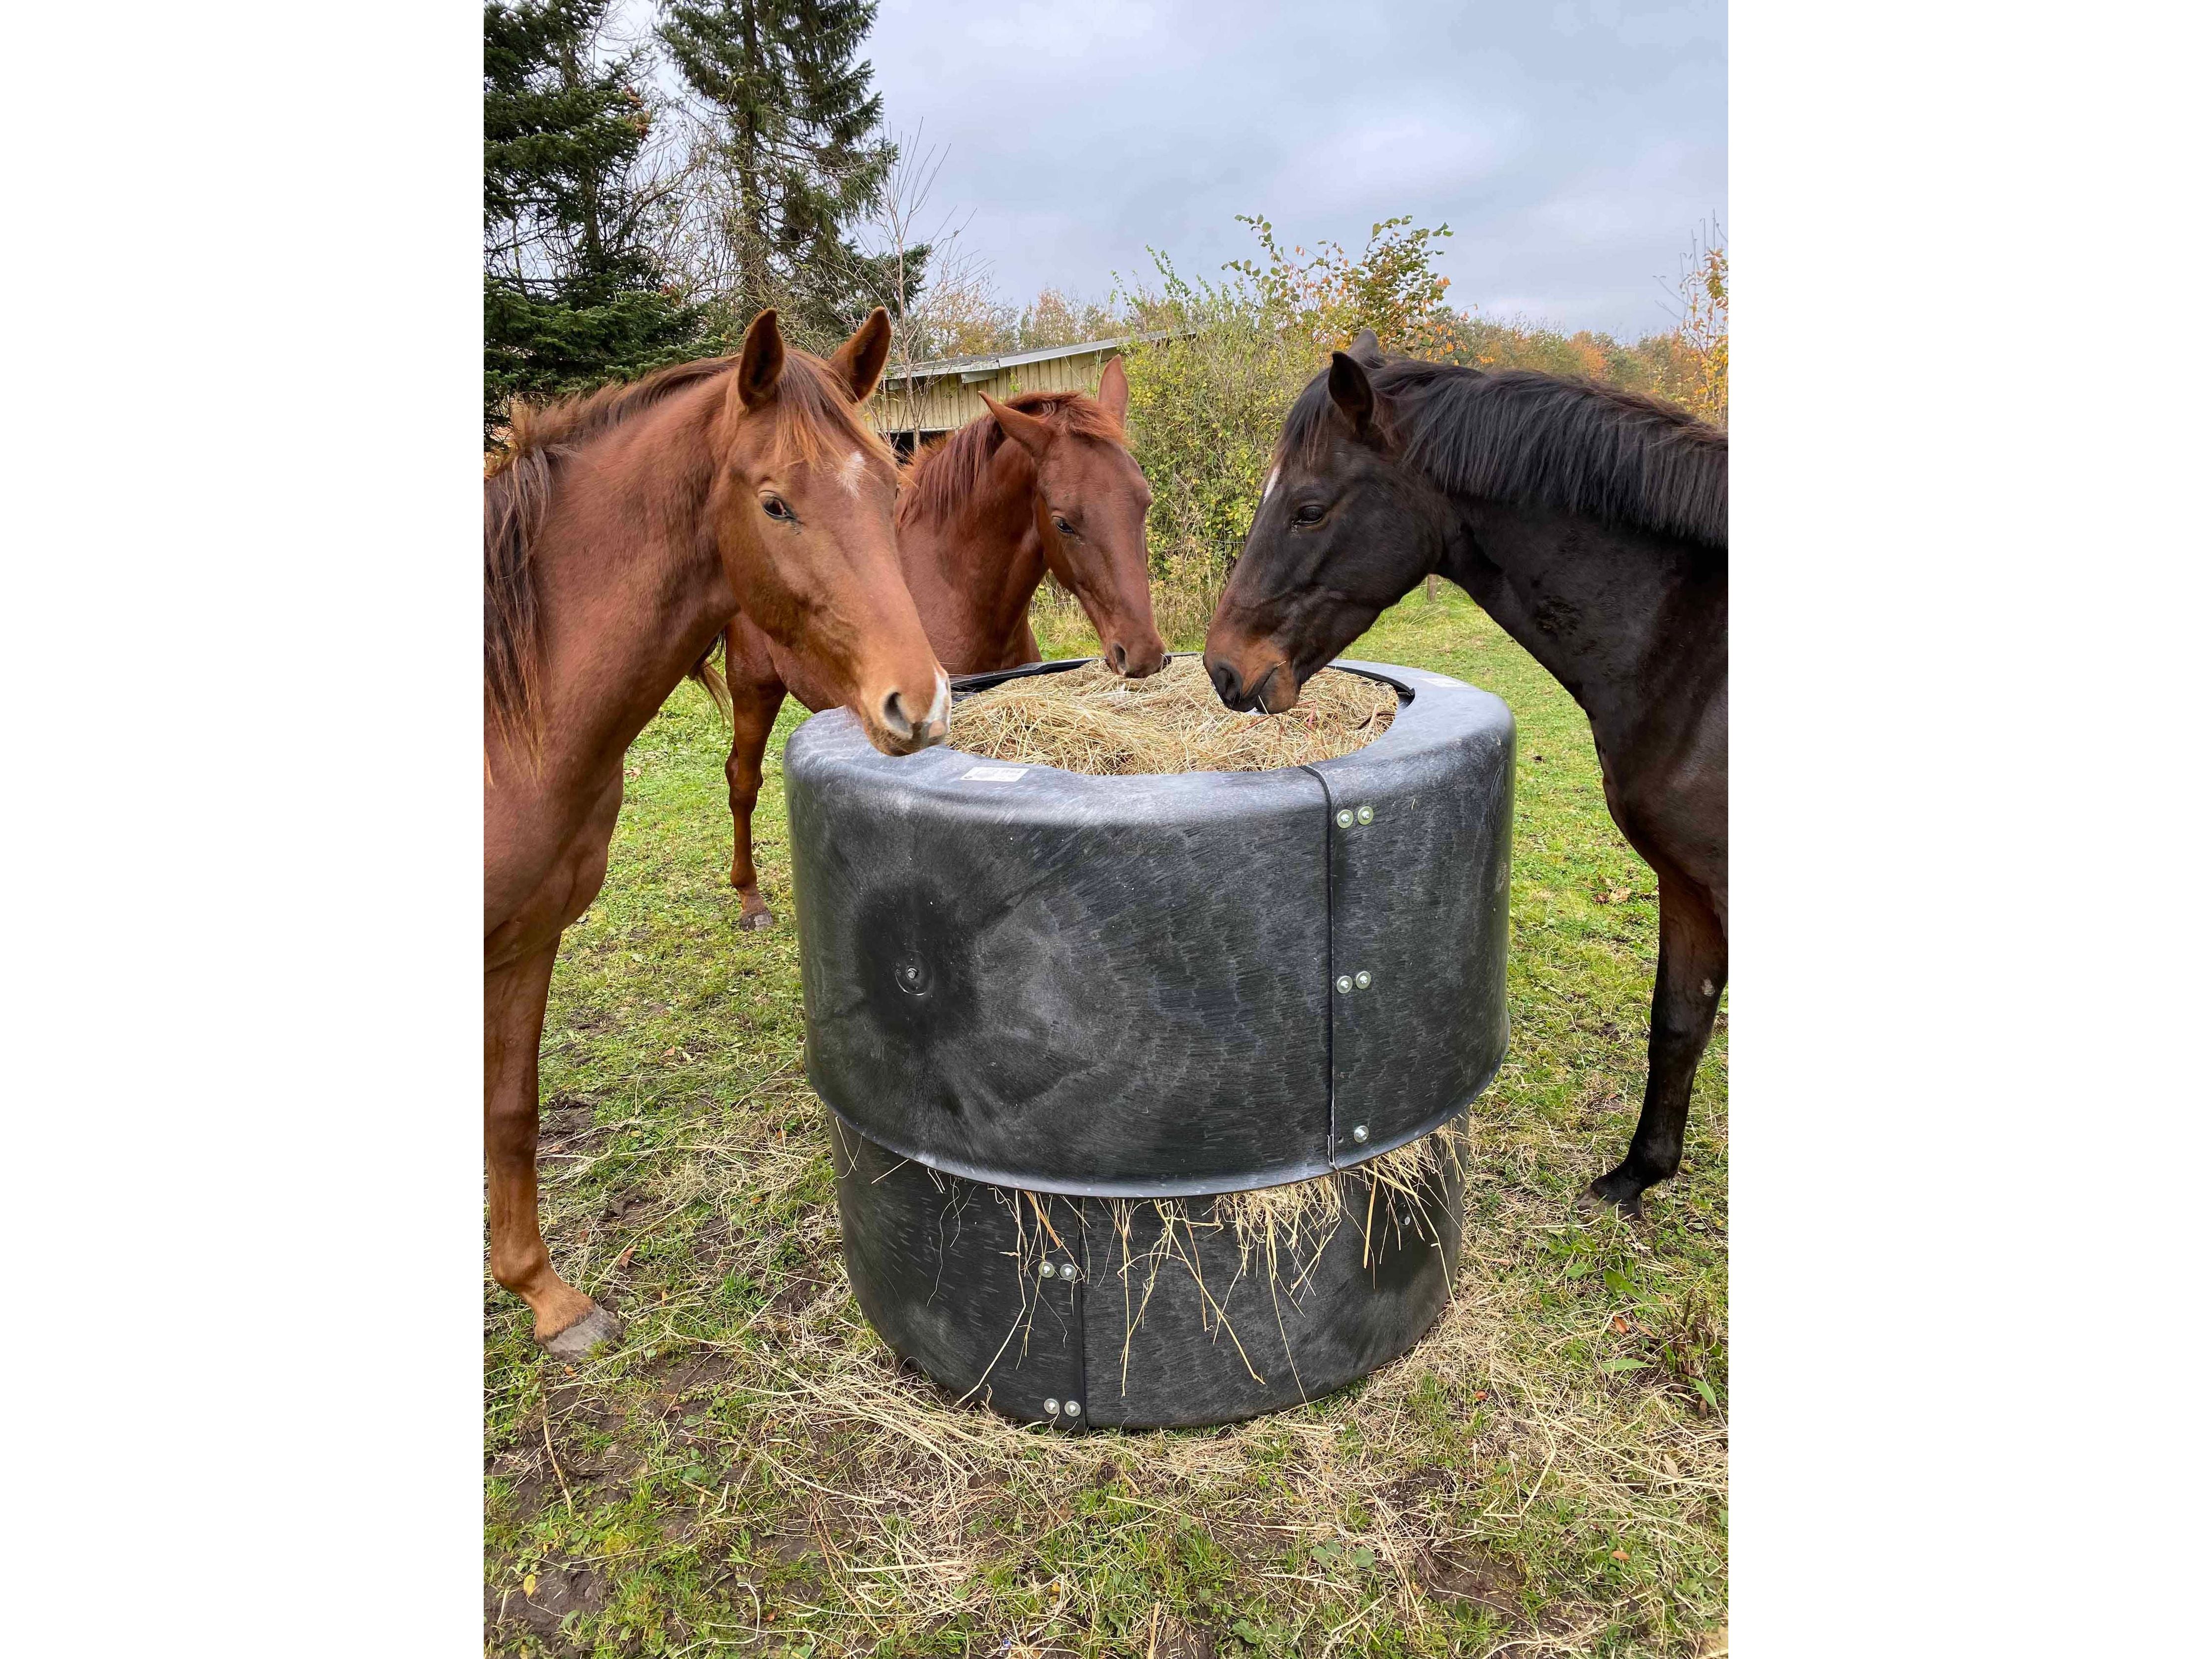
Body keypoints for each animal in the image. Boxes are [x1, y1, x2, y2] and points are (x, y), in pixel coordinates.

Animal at [485, 308, 950, 1355]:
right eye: (776, 505)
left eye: (891, 487)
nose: (919, 701)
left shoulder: (528, 938)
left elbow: (512, 1111)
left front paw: (545, 1294)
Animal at [716, 355, 1167, 927]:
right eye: (1064, 522)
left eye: (1143, 502)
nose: (1143, 652)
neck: (953, 591)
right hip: (754, 688)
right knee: (742, 779)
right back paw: (750, 899)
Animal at [1203, 331, 1727, 1217]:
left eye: (1308, 508)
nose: (1224, 668)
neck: (1690, 648)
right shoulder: (1686, 882)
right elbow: (1677, 1022)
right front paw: (1637, 1174)